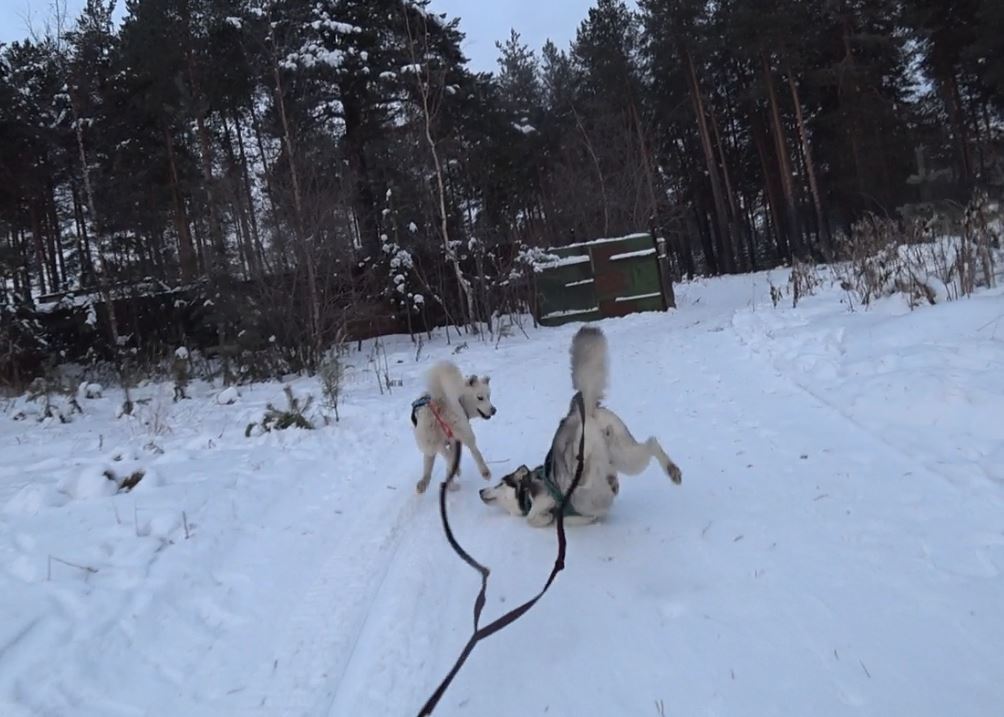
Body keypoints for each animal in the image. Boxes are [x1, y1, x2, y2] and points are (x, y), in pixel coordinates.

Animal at [411, 359, 497, 494]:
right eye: (480, 397)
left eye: (489, 396)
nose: (494, 410)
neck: (461, 398)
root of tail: (439, 400)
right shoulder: (455, 439)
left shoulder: (443, 443)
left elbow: (429, 466)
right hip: (465, 432)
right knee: (474, 452)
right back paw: (484, 472)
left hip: (429, 439)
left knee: (440, 451)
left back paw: (424, 483)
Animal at [477, 325, 682, 526]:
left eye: (499, 483)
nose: (480, 491)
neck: (527, 492)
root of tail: (581, 411)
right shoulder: (581, 514)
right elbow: (582, 516)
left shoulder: (543, 502)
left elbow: (533, 518)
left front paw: (546, 516)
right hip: (626, 457)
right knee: (650, 443)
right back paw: (668, 470)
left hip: (575, 458)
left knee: (583, 476)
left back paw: (608, 479)